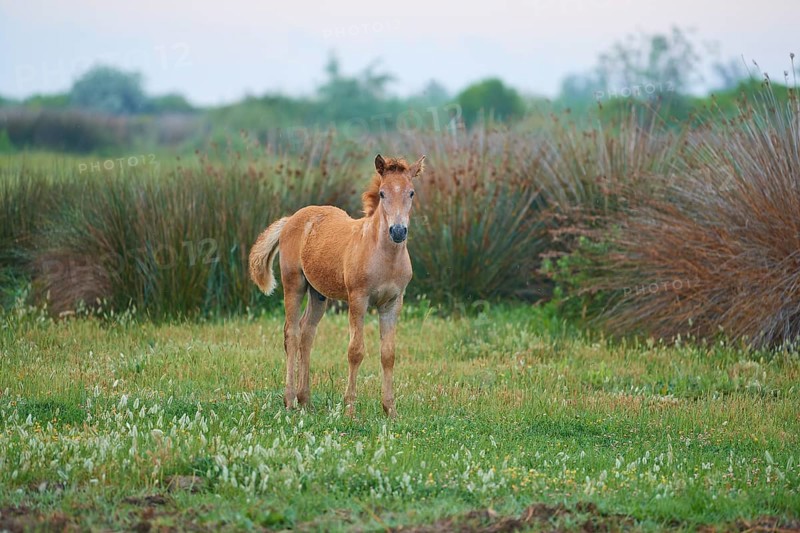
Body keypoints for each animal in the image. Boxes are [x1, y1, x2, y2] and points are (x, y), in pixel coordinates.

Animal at [249, 154, 425, 417]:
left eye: (411, 192)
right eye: (382, 193)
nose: (398, 231)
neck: (384, 256)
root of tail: (291, 219)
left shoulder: (393, 303)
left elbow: (388, 354)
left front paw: (390, 410)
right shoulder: (358, 299)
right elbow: (356, 351)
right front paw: (350, 409)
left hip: (318, 294)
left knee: (307, 333)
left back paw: (306, 400)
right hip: (294, 284)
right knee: (292, 334)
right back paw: (290, 400)